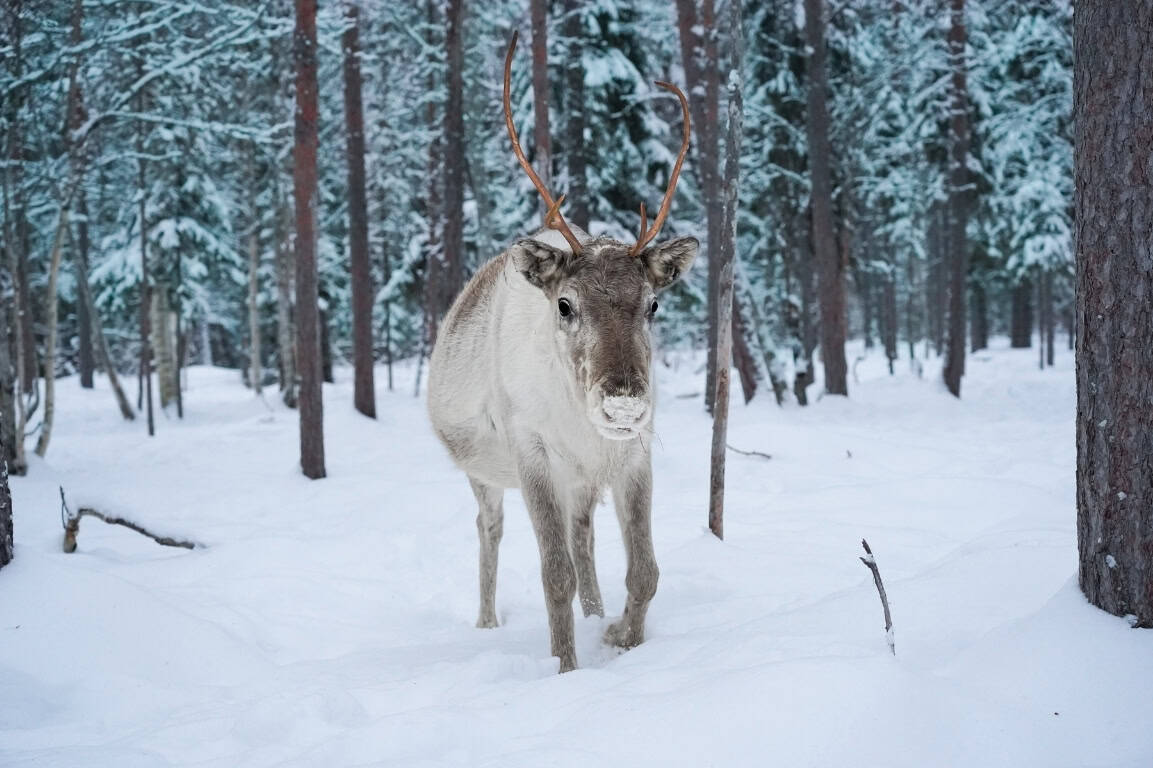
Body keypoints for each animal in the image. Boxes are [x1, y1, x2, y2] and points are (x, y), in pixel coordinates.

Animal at [427, 31, 697, 673]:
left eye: (653, 304)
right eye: (565, 304)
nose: (623, 405)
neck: (581, 423)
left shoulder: (631, 456)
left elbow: (645, 571)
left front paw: (621, 636)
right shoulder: (533, 455)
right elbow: (555, 577)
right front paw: (566, 669)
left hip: (581, 483)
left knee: (584, 540)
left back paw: (597, 614)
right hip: (483, 472)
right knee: (490, 528)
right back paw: (487, 621)